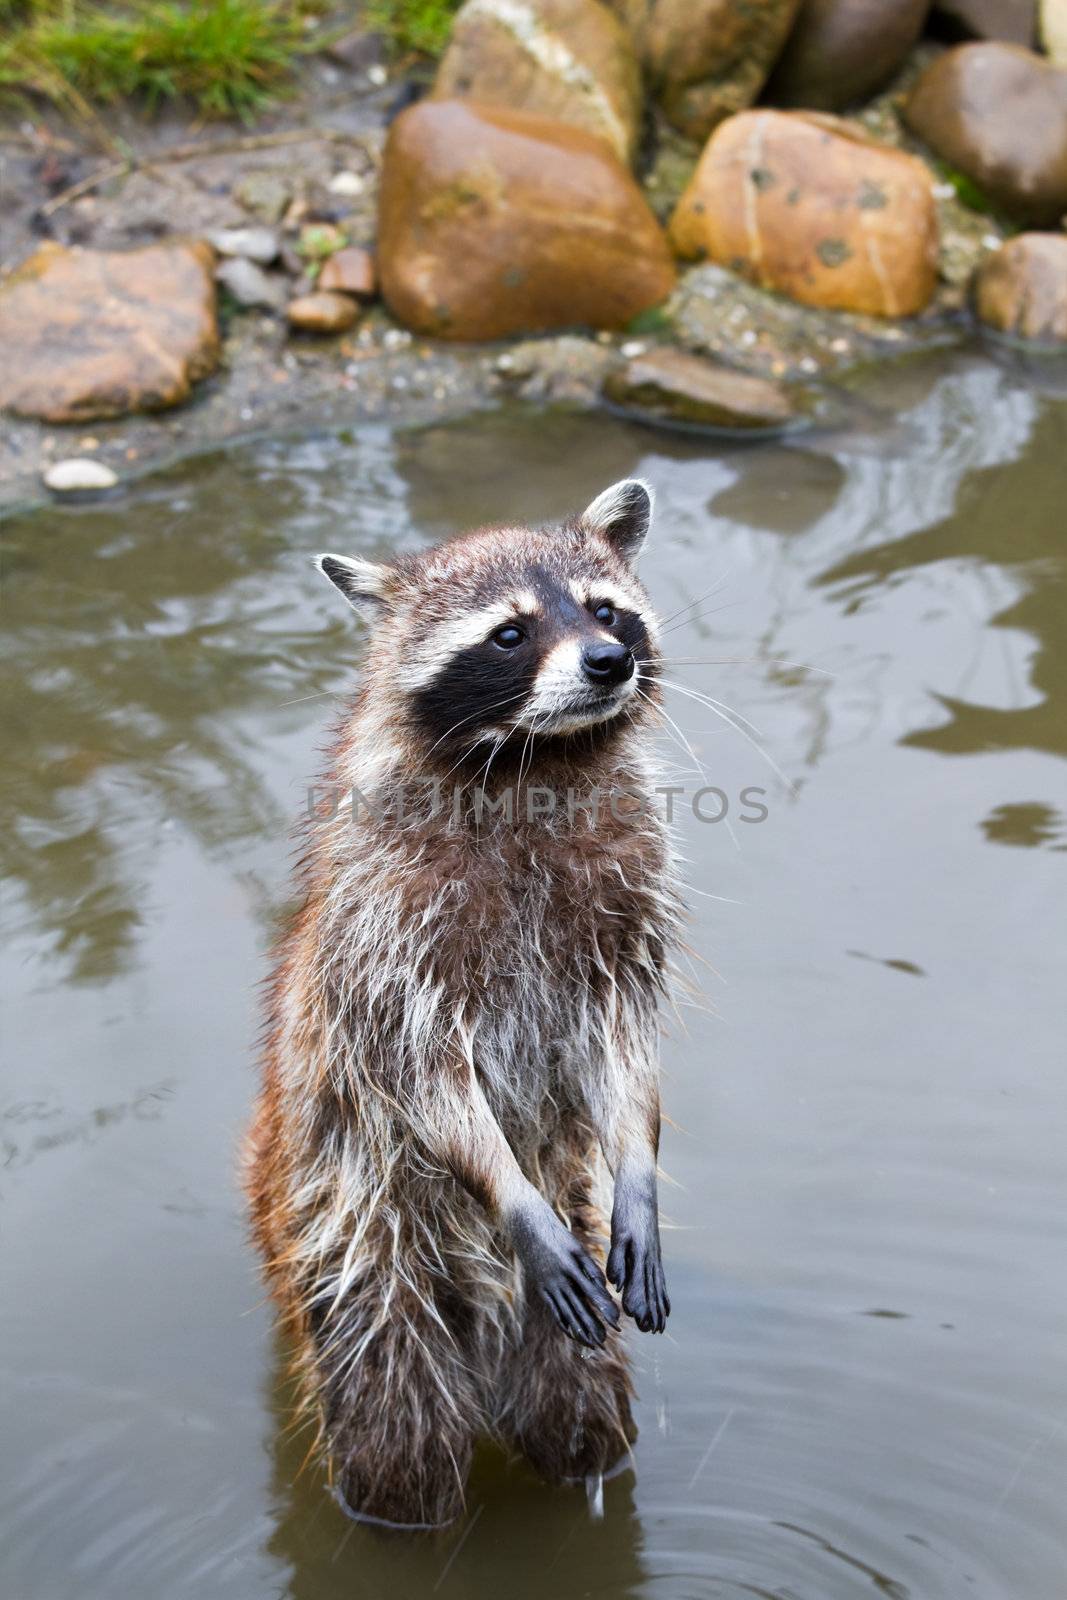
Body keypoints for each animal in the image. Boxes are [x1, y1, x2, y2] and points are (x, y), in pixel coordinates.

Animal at [244, 473, 684, 1523]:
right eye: (509, 634)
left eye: (606, 610)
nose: (609, 661)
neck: (534, 760)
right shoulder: (384, 928)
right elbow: (415, 1068)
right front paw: (506, 1187)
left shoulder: (624, 896)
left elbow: (623, 1036)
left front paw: (639, 1164)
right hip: (355, 1248)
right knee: (396, 1443)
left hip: (557, 1310)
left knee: (579, 1421)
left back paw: (584, 1470)